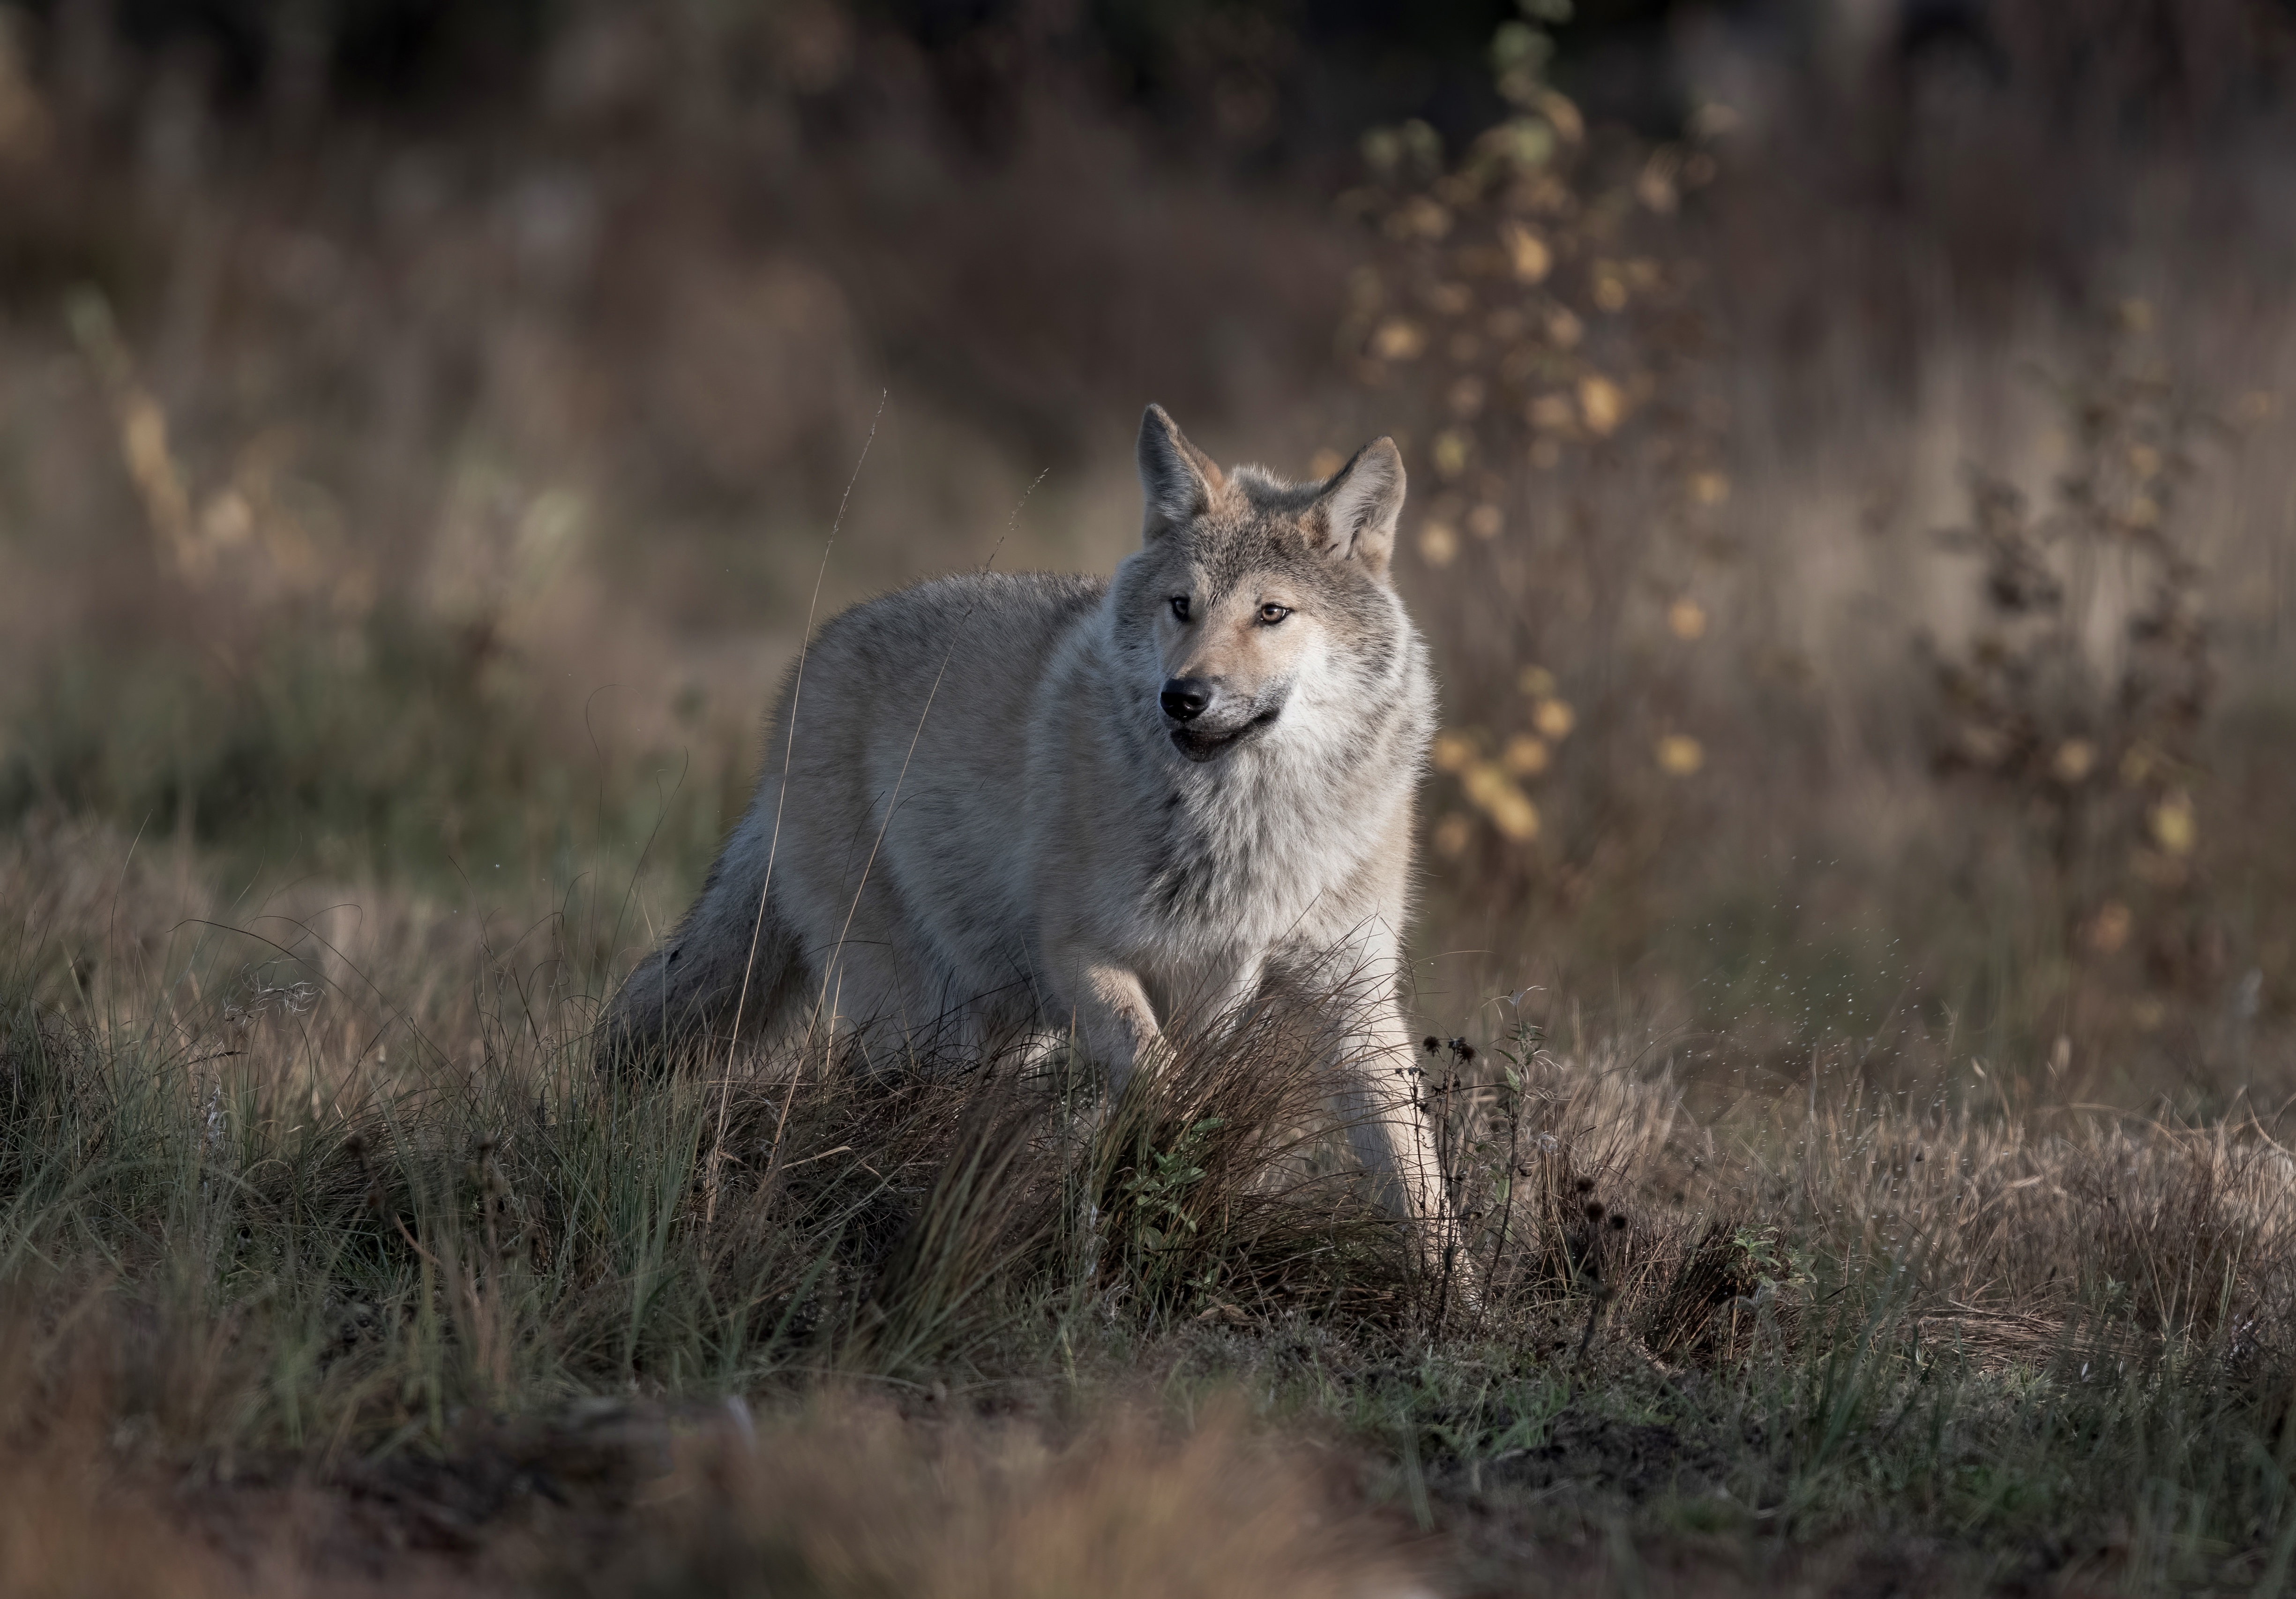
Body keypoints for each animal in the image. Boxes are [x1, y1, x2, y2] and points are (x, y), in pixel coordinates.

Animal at [597, 402, 1451, 1250]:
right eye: (1182, 605)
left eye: (1271, 613)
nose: (1181, 697)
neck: (1248, 824)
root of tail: (807, 666)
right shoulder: (1081, 955)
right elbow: (1162, 1083)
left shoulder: (1356, 999)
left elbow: (1420, 1187)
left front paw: (1452, 1287)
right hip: (928, 1022)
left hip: (1004, 1028)